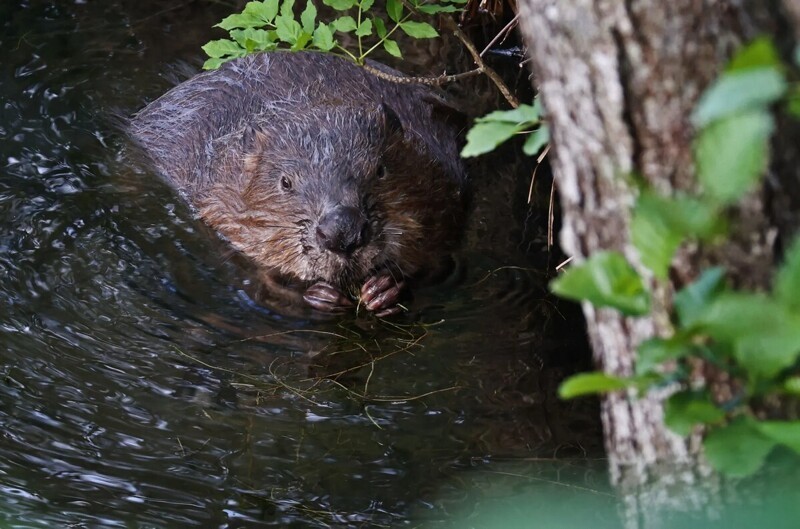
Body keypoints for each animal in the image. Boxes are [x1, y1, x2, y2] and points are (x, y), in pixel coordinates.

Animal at [130, 50, 468, 314]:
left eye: (380, 170)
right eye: (285, 182)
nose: (342, 232)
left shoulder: (444, 175)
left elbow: (442, 262)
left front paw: (384, 288)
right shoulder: (217, 197)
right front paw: (320, 295)